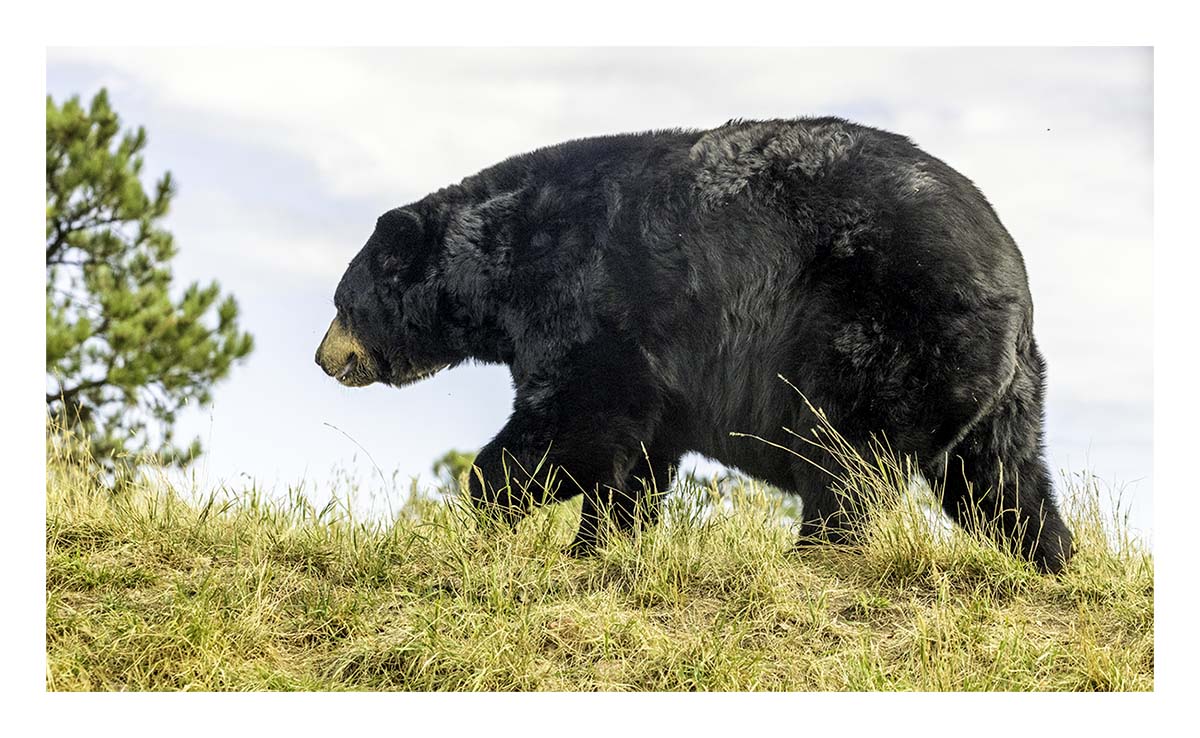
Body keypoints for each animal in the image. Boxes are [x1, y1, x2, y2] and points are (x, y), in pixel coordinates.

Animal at [315, 116, 1074, 573]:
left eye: (342, 303)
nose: (325, 358)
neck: (504, 266)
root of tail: (1013, 272)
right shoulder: (658, 374)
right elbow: (637, 455)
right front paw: (599, 542)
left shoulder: (593, 299)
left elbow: (580, 417)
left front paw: (493, 497)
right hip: (1000, 383)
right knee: (1001, 477)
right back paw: (1050, 557)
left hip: (883, 328)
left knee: (845, 453)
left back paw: (815, 554)